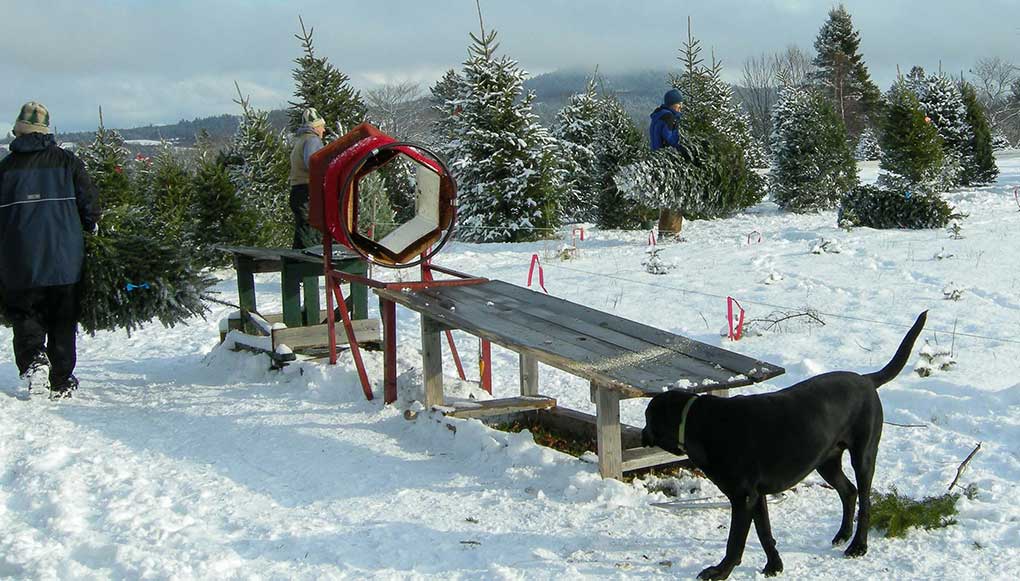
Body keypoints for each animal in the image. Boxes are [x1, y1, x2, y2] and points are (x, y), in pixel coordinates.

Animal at [648, 309, 930, 574]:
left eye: (648, 419)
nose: (643, 434)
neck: (698, 423)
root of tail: (867, 379)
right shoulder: (757, 496)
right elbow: (765, 534)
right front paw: (774, 566)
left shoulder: (743, 497)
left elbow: (735, 542)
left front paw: (720, 571)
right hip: (826, 460)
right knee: (849, 491)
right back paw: (842, 535)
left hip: (863, 455)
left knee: (865, 500)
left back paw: (858, 546)